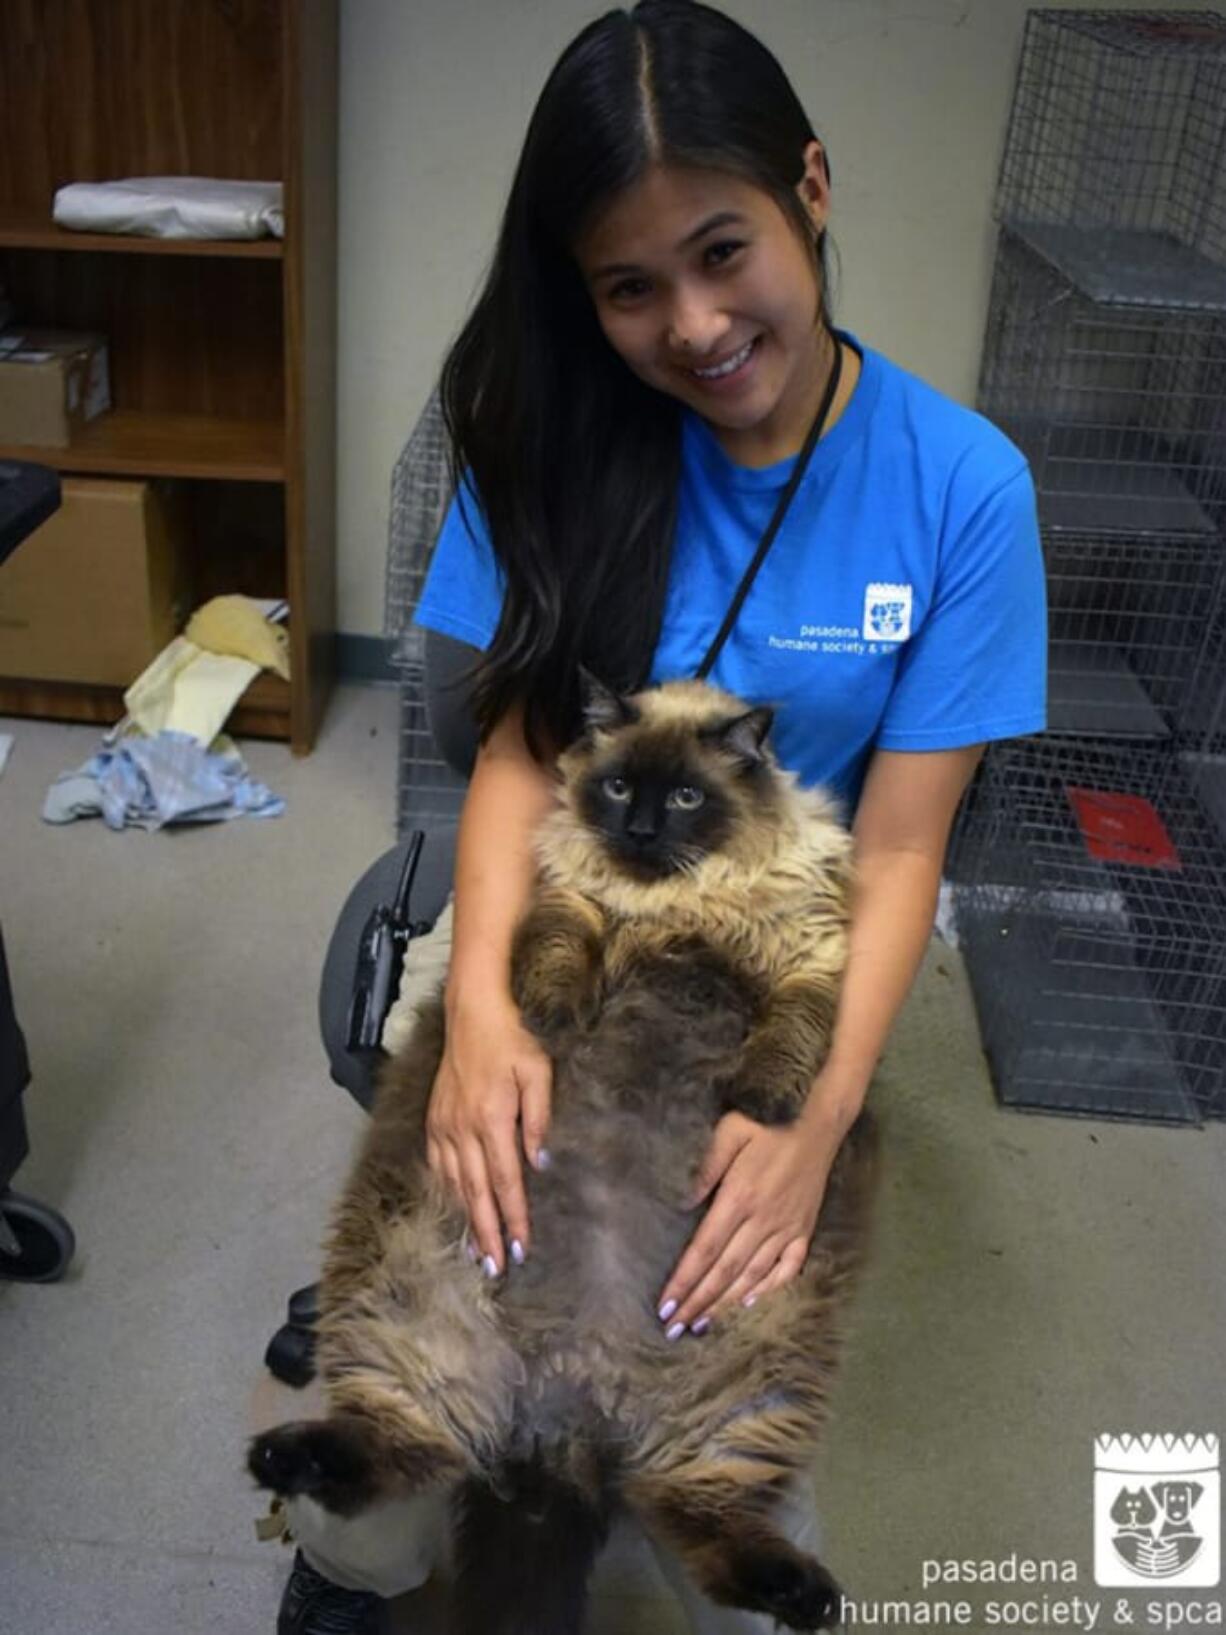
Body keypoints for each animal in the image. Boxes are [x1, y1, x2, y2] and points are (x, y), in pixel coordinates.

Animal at [251, 670, 882, 1628]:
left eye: (687, 797)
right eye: (618, 787)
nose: (642, 829)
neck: (679, 898)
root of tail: (564, 1422)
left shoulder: (808, 962)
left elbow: (788, 1041)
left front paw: (765, 1104)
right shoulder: (571, 903)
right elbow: (557, 955)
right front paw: (550, 1016)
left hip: (749, 1398)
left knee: (694, 1517)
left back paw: (804, 1593)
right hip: (402, 1315)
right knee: (398, 1449)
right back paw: (278, 1459)